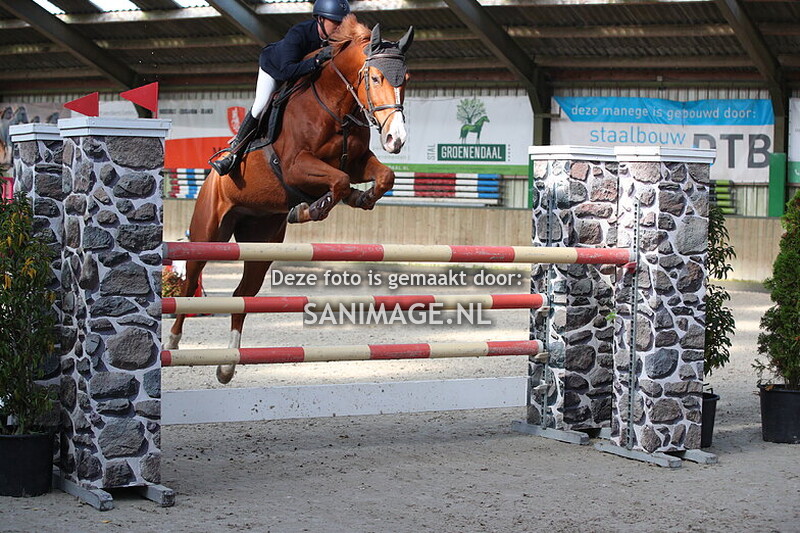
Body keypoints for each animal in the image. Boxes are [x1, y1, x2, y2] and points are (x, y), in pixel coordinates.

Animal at [165, 15, 414, 384]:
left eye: (406, 79)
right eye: (374, 77)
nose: (395, 139)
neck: (336, 104)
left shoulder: (356, 162)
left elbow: (382, 177)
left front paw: (360, 198)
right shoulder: (297, 166)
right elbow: (338, 182)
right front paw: (312, 208)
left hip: (262, 240)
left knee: (242, 296)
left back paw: (227, 365)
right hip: (207, 233)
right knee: (191, 283)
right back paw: (173, 342)